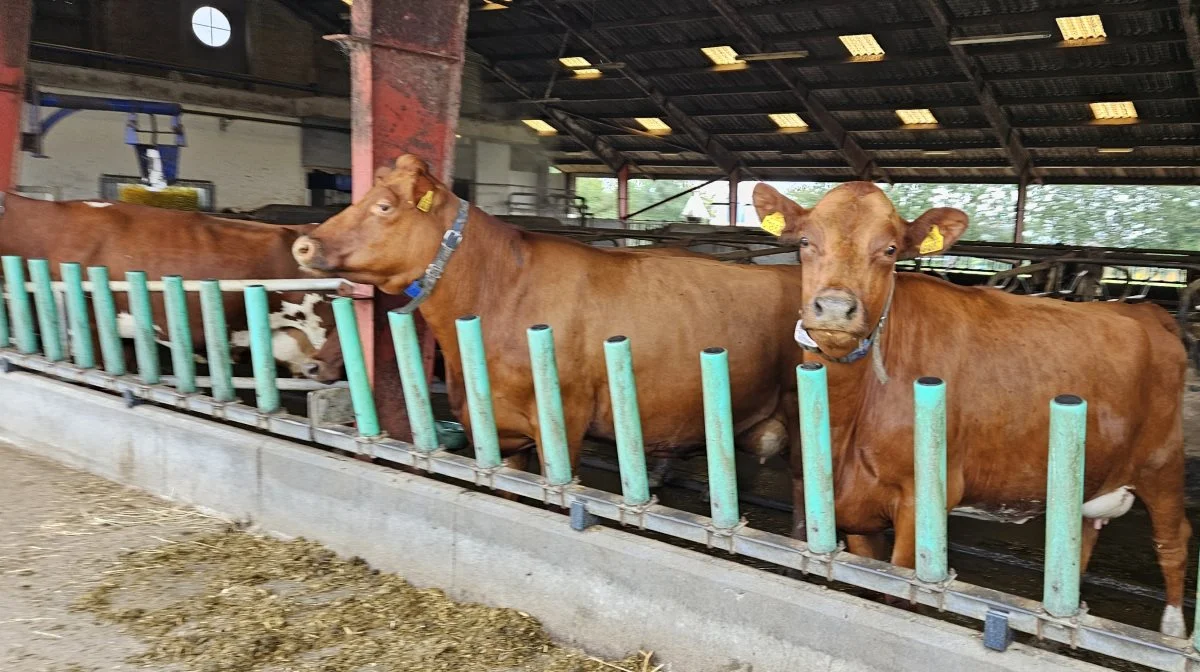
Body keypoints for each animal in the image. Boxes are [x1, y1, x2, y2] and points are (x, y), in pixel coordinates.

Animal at [753, 181, 1185, 638]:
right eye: (804, 242)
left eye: (890, 249)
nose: (835, 308)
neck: (849, 419)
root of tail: (1147, 311)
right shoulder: (858, 510)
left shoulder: (920, 501)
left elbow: (898, 588)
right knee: (1082, 536)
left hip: (1164, 463)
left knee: (1174, 542)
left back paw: (1173, 631)